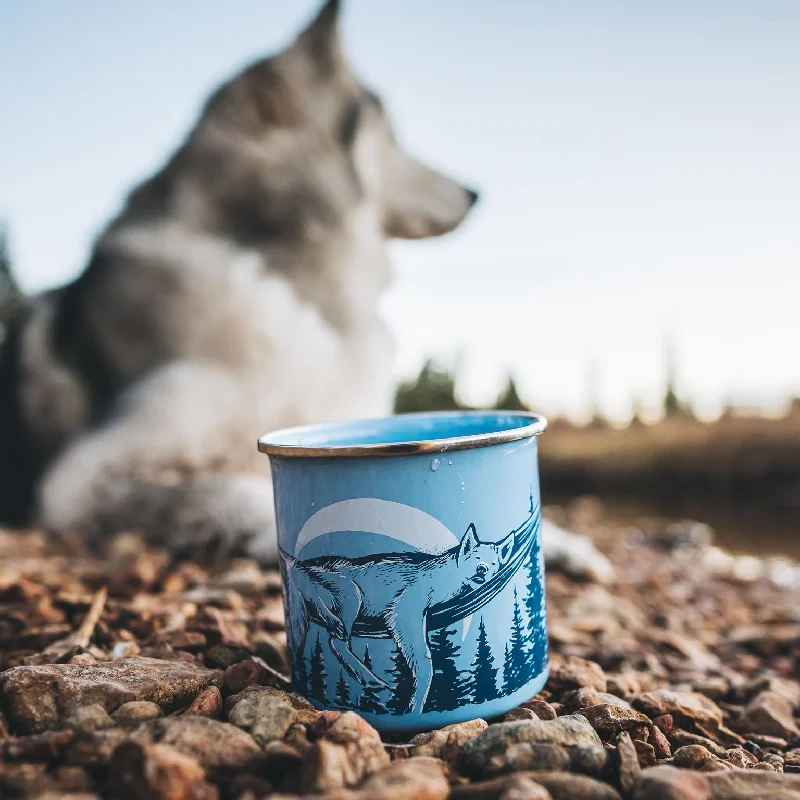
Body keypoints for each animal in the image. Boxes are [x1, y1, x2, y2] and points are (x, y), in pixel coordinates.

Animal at [284, 524, 516, 712]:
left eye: (493, 564)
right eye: (475, 558)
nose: (482, 569)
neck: (445, 577)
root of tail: (297, 565)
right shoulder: (404, 611)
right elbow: (425, 661)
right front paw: (416, 704)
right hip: (352, 594)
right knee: (334, 637)